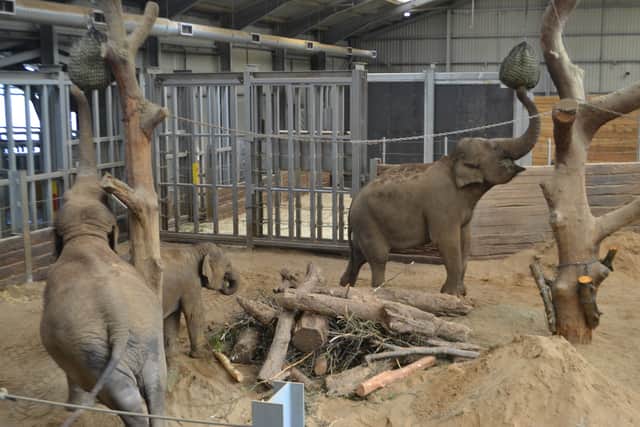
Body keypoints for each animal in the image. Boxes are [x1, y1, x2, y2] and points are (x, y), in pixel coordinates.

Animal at [41, 86, 166, 427]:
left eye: (65, 196)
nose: (72, 87)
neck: (86, 233)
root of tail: (119, 321)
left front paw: (71, 408)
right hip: (140, 340)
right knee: (155, 387)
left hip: (88, 351)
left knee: (127, 398)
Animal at [340, 87, 540, 296]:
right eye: (496, 148)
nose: (519, 88)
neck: (452, 161)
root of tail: (352, 204)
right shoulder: (442, 206)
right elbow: (447, 241)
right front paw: (452, 294)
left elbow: (465, 241)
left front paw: (460, 293)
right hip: (368, 221)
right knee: (378, 256)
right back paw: (379, 290)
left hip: (364, 225)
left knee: (359, 254)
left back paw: (345, 285)